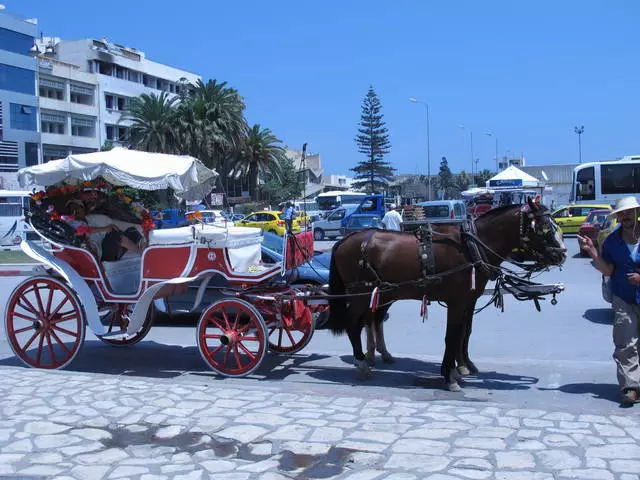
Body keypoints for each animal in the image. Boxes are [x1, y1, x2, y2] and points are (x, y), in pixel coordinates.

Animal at [330, 199, 564, 390]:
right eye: (543, 227)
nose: (561, 254)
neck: (470, 247)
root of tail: (344, 239)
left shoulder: (469, 300)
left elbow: (464, 333)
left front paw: (461, 367)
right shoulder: (457, 302)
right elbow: (452, 336)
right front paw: (450, 375)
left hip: (382, 293)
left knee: (372, 320)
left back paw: (374, 356)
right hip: (361, 293)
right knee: (353, 322)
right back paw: (361, 362)